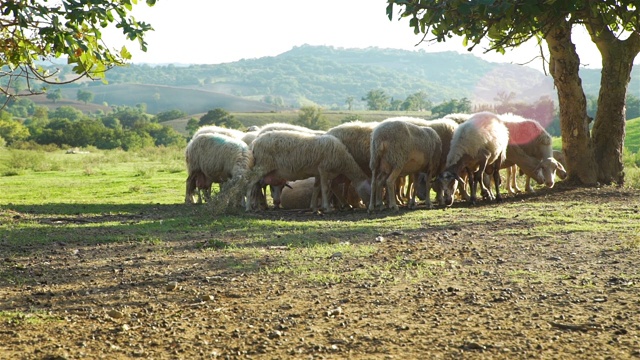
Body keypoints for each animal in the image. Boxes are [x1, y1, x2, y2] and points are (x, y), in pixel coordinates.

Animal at [242, 131, 372, 212]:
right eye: (368, 191)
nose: (368, 206)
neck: (343, 159)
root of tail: (254, 143)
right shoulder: (323, 170)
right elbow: (325, 189)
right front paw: (327, 208)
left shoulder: (318, 172)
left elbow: (316, 188)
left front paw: (314, 207)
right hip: (263, 165)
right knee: (250, 184)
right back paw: (249, 207)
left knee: (256, 186)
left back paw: (257, 207)